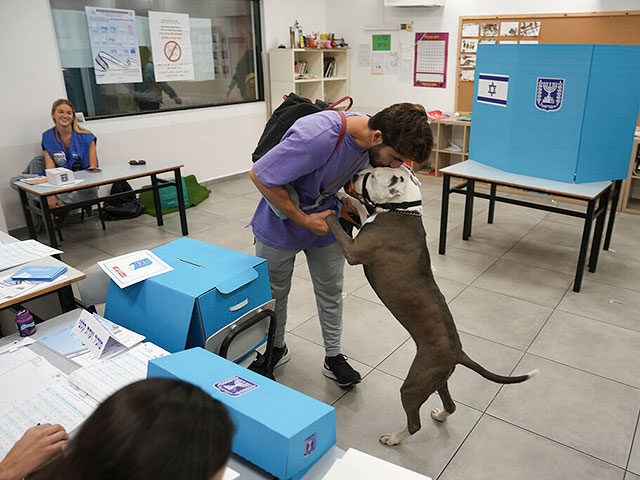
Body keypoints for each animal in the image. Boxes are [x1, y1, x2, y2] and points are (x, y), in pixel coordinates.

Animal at [324, 166, 536, 446]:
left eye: (373, 176)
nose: (357, 174)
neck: (404, 210)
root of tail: (458, 352)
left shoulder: (353, 250)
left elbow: (334, 223)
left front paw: (322, 210)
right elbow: (359, 207)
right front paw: (340, 194)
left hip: (413, 385)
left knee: (415, 424)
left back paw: (394, 438)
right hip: (436, 380)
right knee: (451, 405)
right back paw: (440, 415)